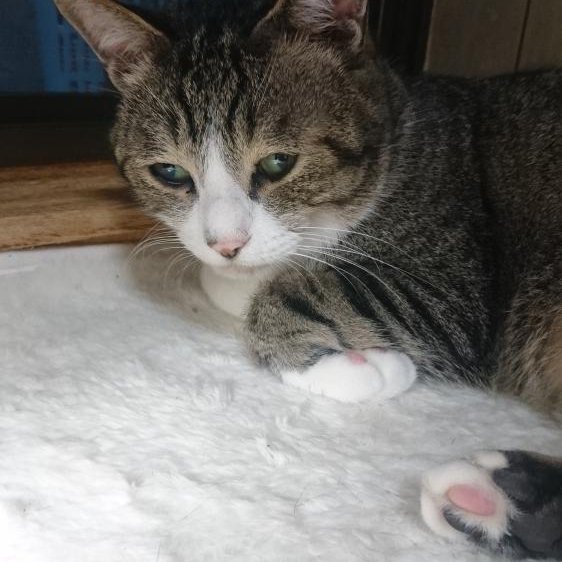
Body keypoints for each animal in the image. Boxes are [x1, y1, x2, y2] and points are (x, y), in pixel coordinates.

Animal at [54, 0, 562, 558]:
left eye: (279, 163)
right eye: (170, 173)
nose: (226, 244)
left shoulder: (452, 281)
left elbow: (292, 295)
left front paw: (360, 366)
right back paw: (495, 501)